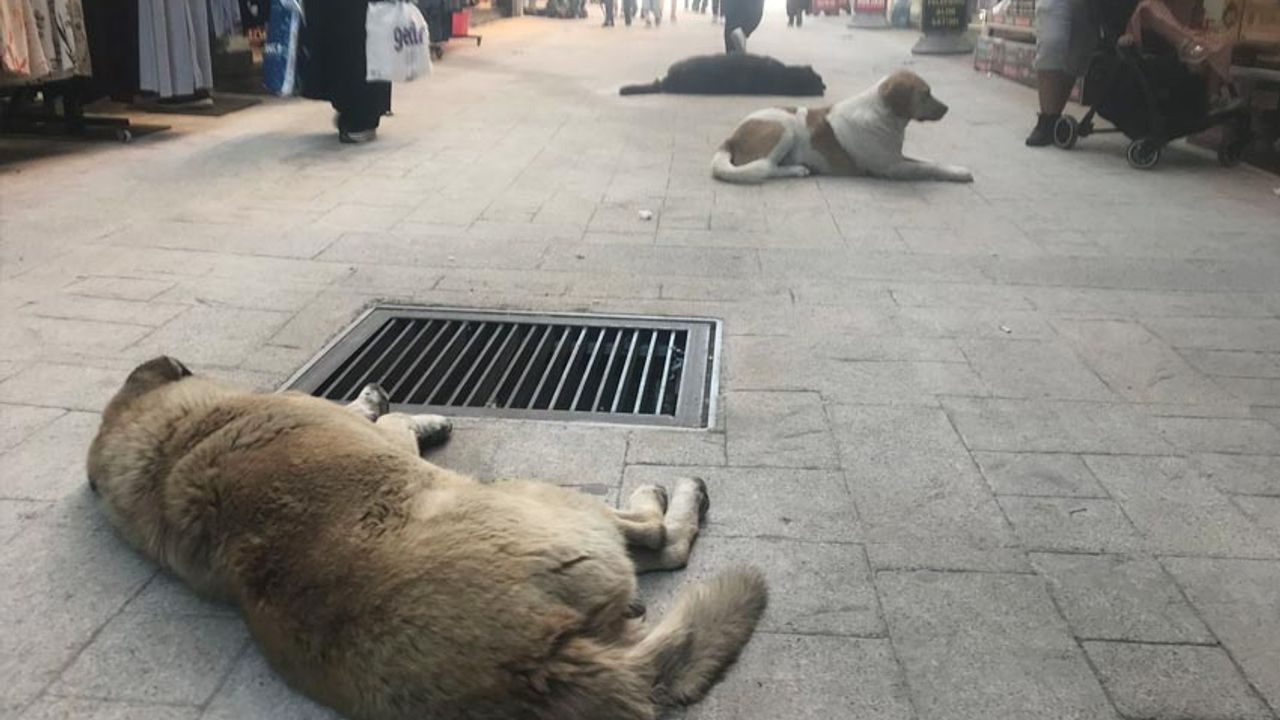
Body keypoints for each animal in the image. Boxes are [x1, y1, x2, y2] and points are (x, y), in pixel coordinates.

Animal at [92, 356, 768, 717]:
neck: (173, 445)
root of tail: (538, 659)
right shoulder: (377, 436)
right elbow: (384, 420)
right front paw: (401, 410)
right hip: (542, 499)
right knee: (659, 541)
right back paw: (669, 499)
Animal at [716, 68, 972, 183]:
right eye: (925, 94)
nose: (947, 108)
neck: (883, 115)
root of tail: (731, 137)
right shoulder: (892, 167)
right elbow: (927, 168)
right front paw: (958, 174)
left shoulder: (896, 157)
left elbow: (928, 161)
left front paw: (956, 168)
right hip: (785, 129)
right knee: (764, 168)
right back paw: (798, 170)